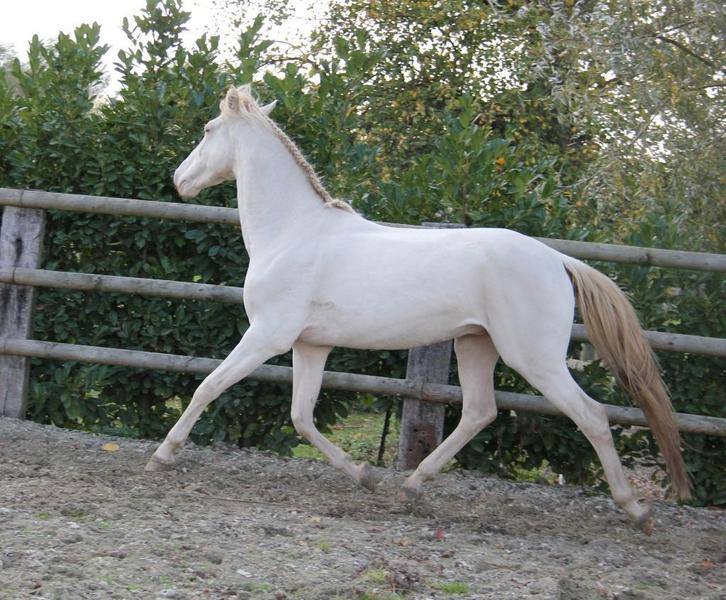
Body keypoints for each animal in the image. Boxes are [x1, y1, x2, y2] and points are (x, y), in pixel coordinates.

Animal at [146, 85, 691, 533]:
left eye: (208, 130)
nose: (178, 179)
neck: (293, 233)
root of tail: (556, 259)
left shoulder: (266, 335)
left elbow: (209, 385)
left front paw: (163, 454)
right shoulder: (310, 345)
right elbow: (302, 417)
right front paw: (364, 475)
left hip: (534, 358)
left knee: (592, 416)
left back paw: (635, 510)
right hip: (475, 345)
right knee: (479, 411)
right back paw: (411, 487)